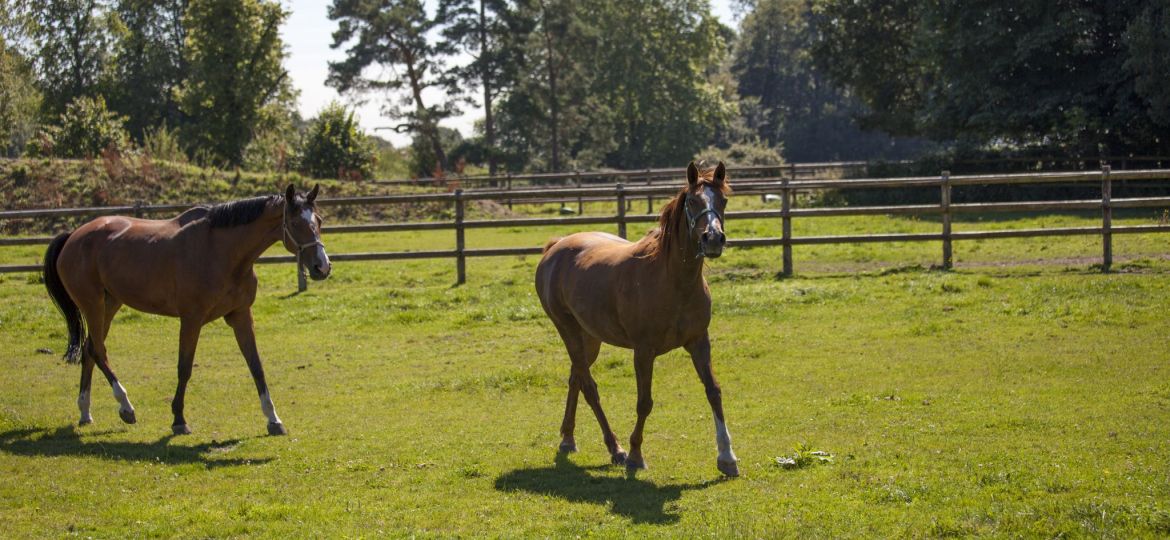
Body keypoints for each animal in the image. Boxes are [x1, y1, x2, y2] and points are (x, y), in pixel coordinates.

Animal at [41, 184, 332, 434]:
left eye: (318, 221)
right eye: (295, 223)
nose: (322, 267)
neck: (221, 252)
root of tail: (73, 236)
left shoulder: (240, 316)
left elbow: (256, 366)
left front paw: (273, 419)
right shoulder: (191, 319)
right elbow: (185, 367)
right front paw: (179, 419)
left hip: (109, 303)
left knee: (90, 349)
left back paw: (85, 412)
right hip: (92, 303)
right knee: (98, 351)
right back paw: (126, 407)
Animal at [535, 160, 739, 476]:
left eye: (723, 201)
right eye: (693, 201)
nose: (714, 239)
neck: (673, 282)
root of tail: (555, 248)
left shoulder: (699, 342)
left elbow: (713, 391)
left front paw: (727, 457)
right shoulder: (643, 351)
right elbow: (644, 402)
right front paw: (634, 454)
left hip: (589, 338)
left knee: (576, 378)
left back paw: (568, 439)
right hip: (568, 331)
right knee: (589, 387)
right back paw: (615, 448)